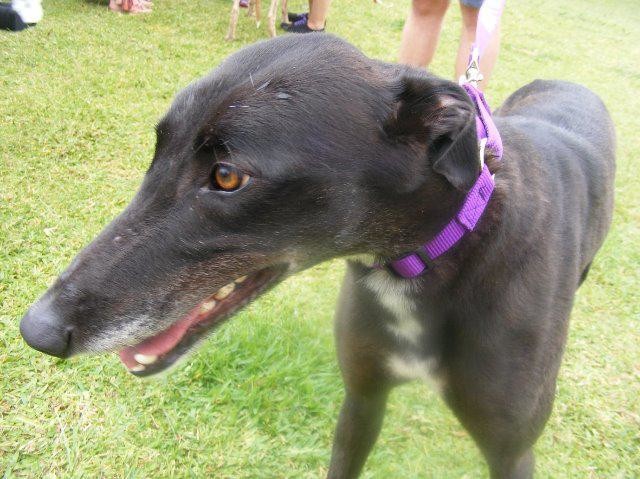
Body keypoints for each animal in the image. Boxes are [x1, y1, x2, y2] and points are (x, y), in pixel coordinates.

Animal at [20, 34, 615, 478]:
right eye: (158, 147)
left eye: (227, 176)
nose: (36, 330)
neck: (438, 254)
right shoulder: (363, 398)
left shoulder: (511, 450)